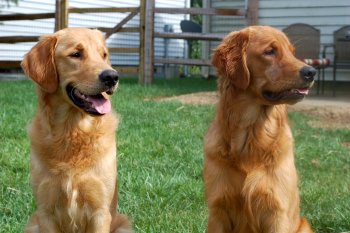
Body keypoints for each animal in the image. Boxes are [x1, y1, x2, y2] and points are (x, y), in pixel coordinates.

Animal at [21, 27, 133, 233]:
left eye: (104, 55)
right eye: (76, 54)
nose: (112, 77)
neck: (72, 131)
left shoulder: (100, 211)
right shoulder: (46, 211)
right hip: (33, 223)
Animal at [204, 26, 316, 233]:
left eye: (292, 52)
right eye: (270, 51)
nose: (311, 72)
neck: (252, 133)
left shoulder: (277, 212)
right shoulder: (218, 210)